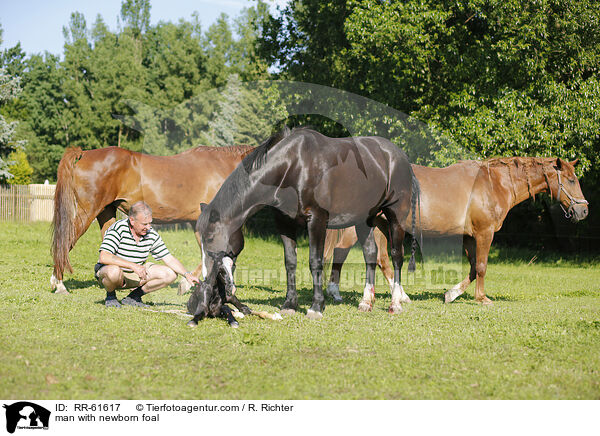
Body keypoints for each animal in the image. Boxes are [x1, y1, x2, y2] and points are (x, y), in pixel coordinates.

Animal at [326, 158, 588, 306]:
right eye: (571, 180)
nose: (584, 210)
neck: (493, 184)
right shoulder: (484, 233)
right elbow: (481, 267)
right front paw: (482, 299)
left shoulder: (469, 236)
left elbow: (472, 268)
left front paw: (451, 294)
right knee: (348, 253)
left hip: (380, 225)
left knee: (379, 260)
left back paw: (393, 296)